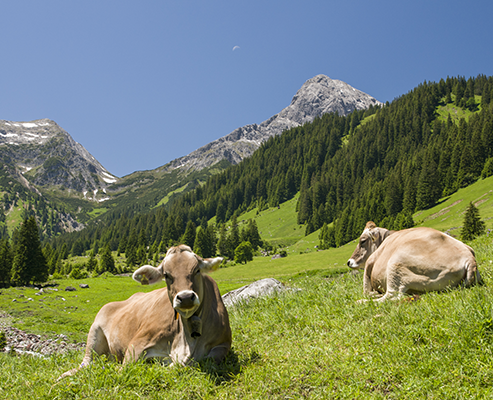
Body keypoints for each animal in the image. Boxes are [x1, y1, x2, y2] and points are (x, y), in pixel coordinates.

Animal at [58, 245, 232, 380]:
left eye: (196, 270)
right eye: (166, 275)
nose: (185, 297)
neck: (187, 338)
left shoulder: (223, 344)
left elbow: (199, 361)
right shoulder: (137, 343)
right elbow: (125, 368)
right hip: (94, 333)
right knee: (86, 363)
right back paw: (62, 377)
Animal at [346, 220, 480, 302]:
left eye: (362, 241)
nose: (349, 261)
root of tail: (470, 259)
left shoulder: (369, 263)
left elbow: (366, 290)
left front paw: (371, 294)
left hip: (396, 264)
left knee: (391, 296)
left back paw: (362, 301)